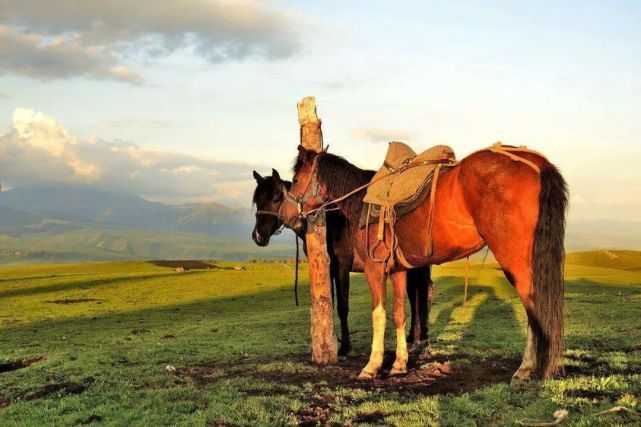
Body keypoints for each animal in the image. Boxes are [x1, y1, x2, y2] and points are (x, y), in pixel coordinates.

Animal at [282, 145, 568, 382]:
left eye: (295, 180)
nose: (286, 216)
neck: (361, 201)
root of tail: (536, 163)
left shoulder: (375, 269)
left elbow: (379, 315)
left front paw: (372, 366)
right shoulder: (398, 271)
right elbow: (399, 313)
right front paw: (399, 364)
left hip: (515, 260)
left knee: (533, 307)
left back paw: (525, 369)